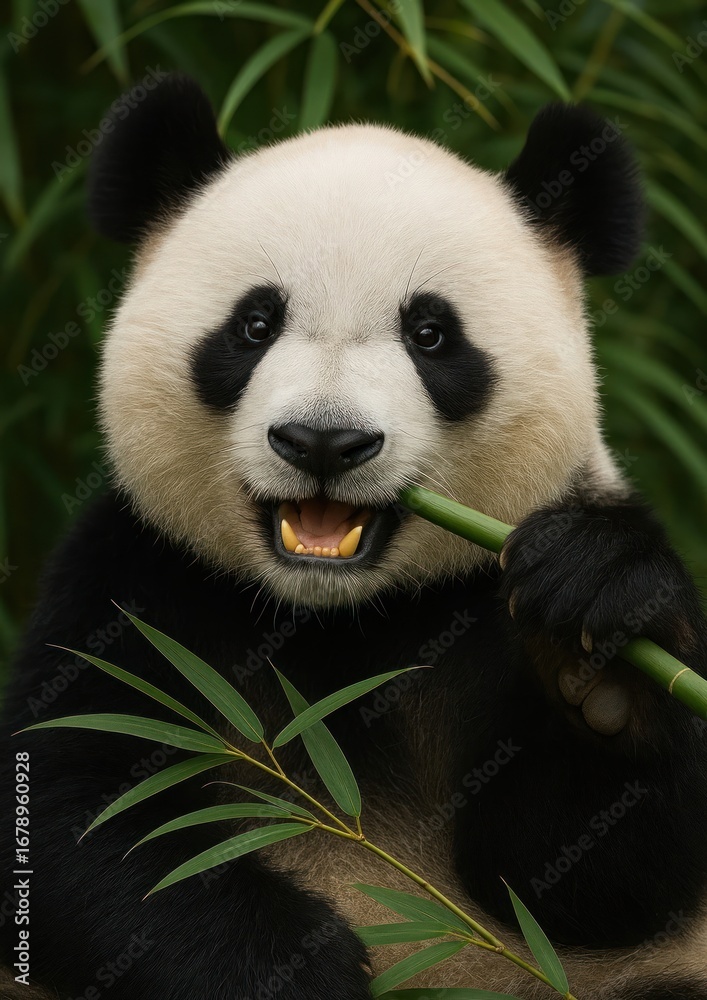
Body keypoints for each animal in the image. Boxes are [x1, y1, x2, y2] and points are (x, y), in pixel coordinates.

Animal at [1, 73, 707, 1000]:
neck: (335, 618)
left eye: (430, 334)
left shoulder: (488, 596)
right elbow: (77, 812)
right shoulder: (138, 581)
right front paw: (294, 966)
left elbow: (592, 883)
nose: (322, 442)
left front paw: (598, 657)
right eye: (255, 324)